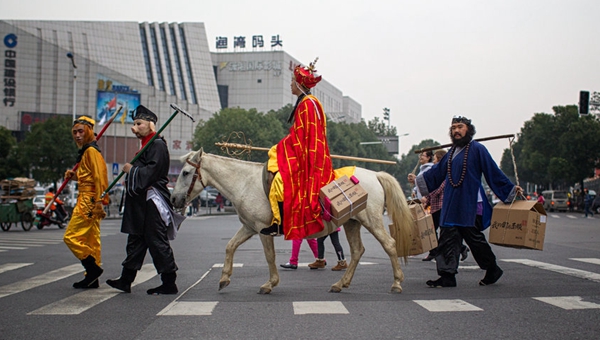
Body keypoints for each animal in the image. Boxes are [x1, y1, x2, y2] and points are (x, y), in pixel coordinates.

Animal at [169, 149, 412, 294]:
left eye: (186, 172)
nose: (173, 199)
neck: (245, 183)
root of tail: (375, 174)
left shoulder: (263, 229)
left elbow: (269, 256)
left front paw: (270, 283)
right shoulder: (249, 227)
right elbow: (230, 246)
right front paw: (224, 278)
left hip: (372, 220)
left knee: (389, 245)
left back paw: (397, 282)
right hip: (352, 222)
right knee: (357, 251)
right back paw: (340, 283)